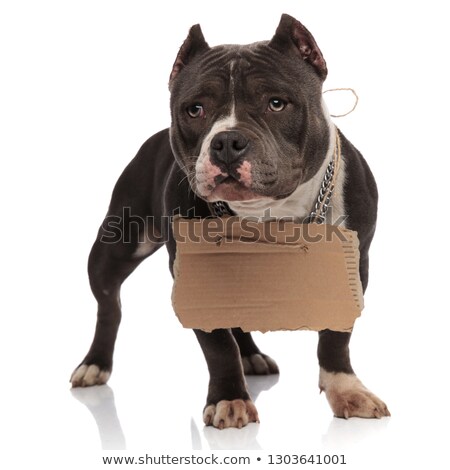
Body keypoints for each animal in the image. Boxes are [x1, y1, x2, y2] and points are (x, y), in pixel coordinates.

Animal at [71, 12, 390, 428]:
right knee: (110, 306)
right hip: (118, 248)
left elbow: (337, 336)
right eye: (195, 109)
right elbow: (217, 344)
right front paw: (229, 398)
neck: (268, 212)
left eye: (276, 104)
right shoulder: (194, 278)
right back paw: (95, 364)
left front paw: (347, 391)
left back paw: (251, 355)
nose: (226, 142)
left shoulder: (353, 264)